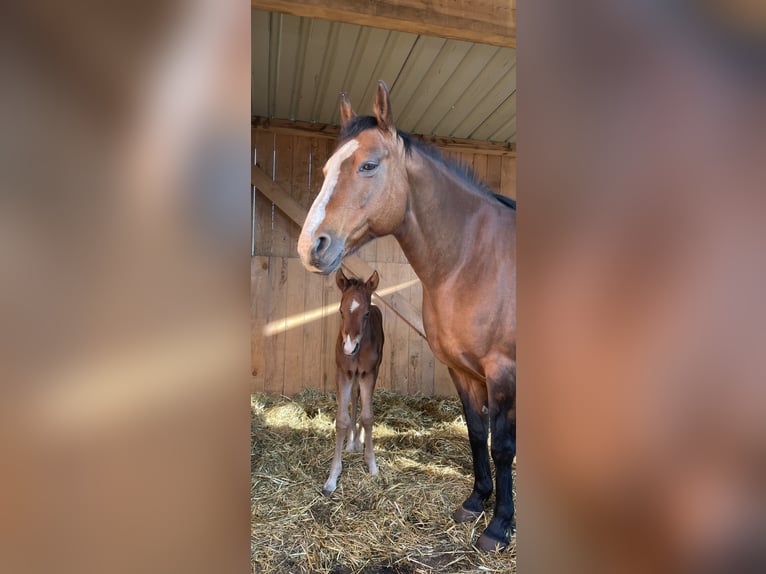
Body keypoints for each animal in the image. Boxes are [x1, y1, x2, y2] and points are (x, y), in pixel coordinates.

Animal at [322, 268, 385, 497]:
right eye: (341, 311)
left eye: (365, 314)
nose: (349, 348)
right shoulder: (344, 373)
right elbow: (342, 420)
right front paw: (332, 477)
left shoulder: (368, 373)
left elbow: (367, 417)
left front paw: (372, 465)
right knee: (354, 399)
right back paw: (351, 442)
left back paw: (358, 441)